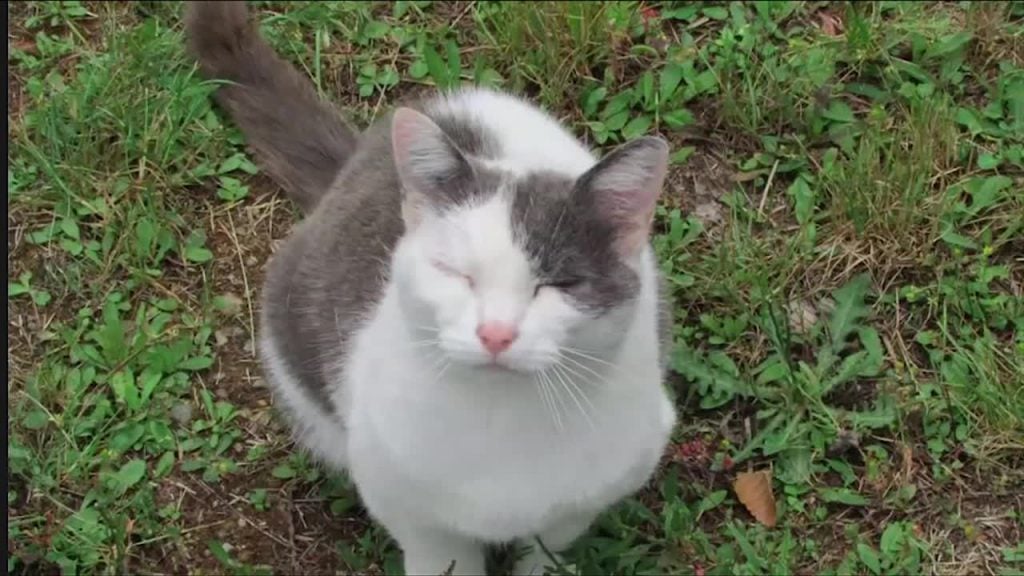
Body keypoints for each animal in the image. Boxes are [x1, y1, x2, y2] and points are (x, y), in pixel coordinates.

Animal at [184, 2, 679, 569]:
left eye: (560, 283)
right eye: (456, 273)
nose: (495, 334)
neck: (503, 424)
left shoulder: (599, 485)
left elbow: (548, 548)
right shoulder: (399, 493)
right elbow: (442, 557)